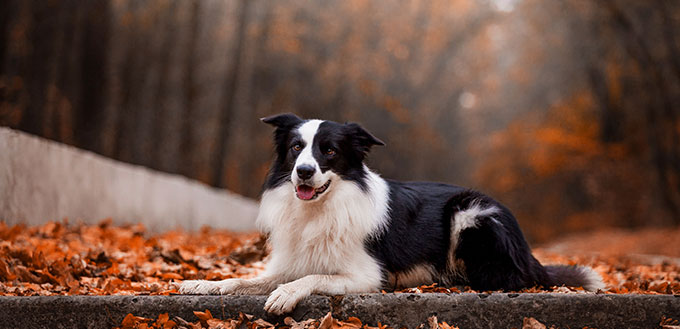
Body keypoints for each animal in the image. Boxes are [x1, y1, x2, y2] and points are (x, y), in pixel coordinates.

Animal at [179, 113, 600, 312]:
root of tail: (529, 253)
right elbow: (243, 279)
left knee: (505, 277)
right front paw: (203, 284)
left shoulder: (365, 276)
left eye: (329, 150)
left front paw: (285, 295)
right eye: (296, 147)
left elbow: (313, 277)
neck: (322, 207)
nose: (304, 171)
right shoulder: (291, 260)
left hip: (470, 212)